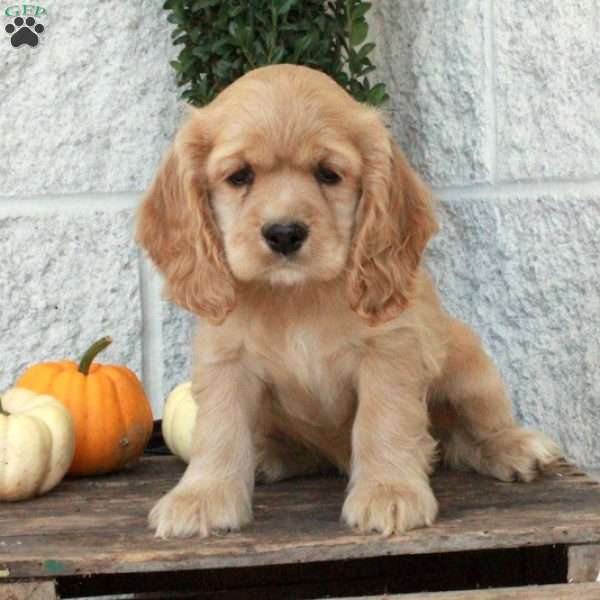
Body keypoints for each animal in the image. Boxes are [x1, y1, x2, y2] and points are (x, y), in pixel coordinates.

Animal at [138, 64, 560, 540]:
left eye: (328, 174)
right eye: (240, 176)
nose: (284, 233)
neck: (297, 296)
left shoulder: (390, 352)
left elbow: (383, 421)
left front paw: (389, 491)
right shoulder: (226, 359)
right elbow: (219, 429)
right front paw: (201, 497)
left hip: (472, 370)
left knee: (469, 437)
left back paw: (516, 447)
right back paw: (267, 457)